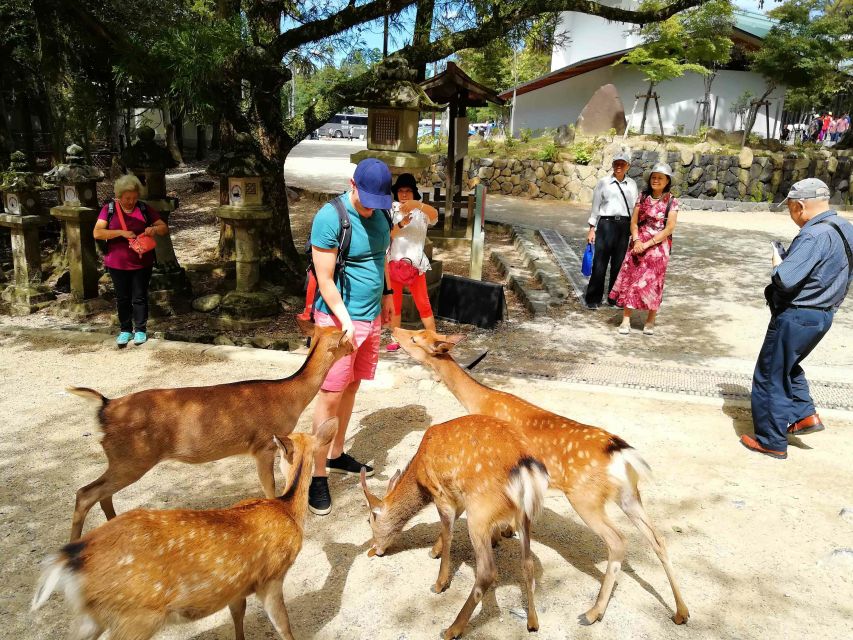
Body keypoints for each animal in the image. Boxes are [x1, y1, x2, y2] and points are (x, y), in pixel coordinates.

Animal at [33, 418, 340, 636]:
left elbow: (238, 616)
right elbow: (284, 627)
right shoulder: (272, 578)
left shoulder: (236, 587)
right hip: (136, 617)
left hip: (92, 617)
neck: (287, 509)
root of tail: (68, 560)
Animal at [65, 320, 352, 540]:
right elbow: (270, 487)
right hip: (131, 458)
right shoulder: (264, 445)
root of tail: (105, 407)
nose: (354, 347)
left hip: (122, 459)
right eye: (347, 339)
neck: (291, 397)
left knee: (102, 494)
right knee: (85, 493)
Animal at [358, 412, 544, 636]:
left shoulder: (440, 493)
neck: (420, 475)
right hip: (523, 514)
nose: (373, 548)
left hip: (480, 510)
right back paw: (533, 622)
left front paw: (438, 582)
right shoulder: (458, 497)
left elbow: (448, 534)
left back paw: (452, 629)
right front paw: (435, 550)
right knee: (527, 563)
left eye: (369, 520)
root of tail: (526, 470)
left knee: (487, 571)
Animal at [392, 328, 692, 628]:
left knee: (618, 542)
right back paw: (681, 612)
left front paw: (441, 552)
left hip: (586, 497)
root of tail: (621, 453)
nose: (395, 330)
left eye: (416, 339)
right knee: (658, 539)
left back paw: (592, 613)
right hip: (629, 494)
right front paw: (505, 531)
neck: (480, 401)